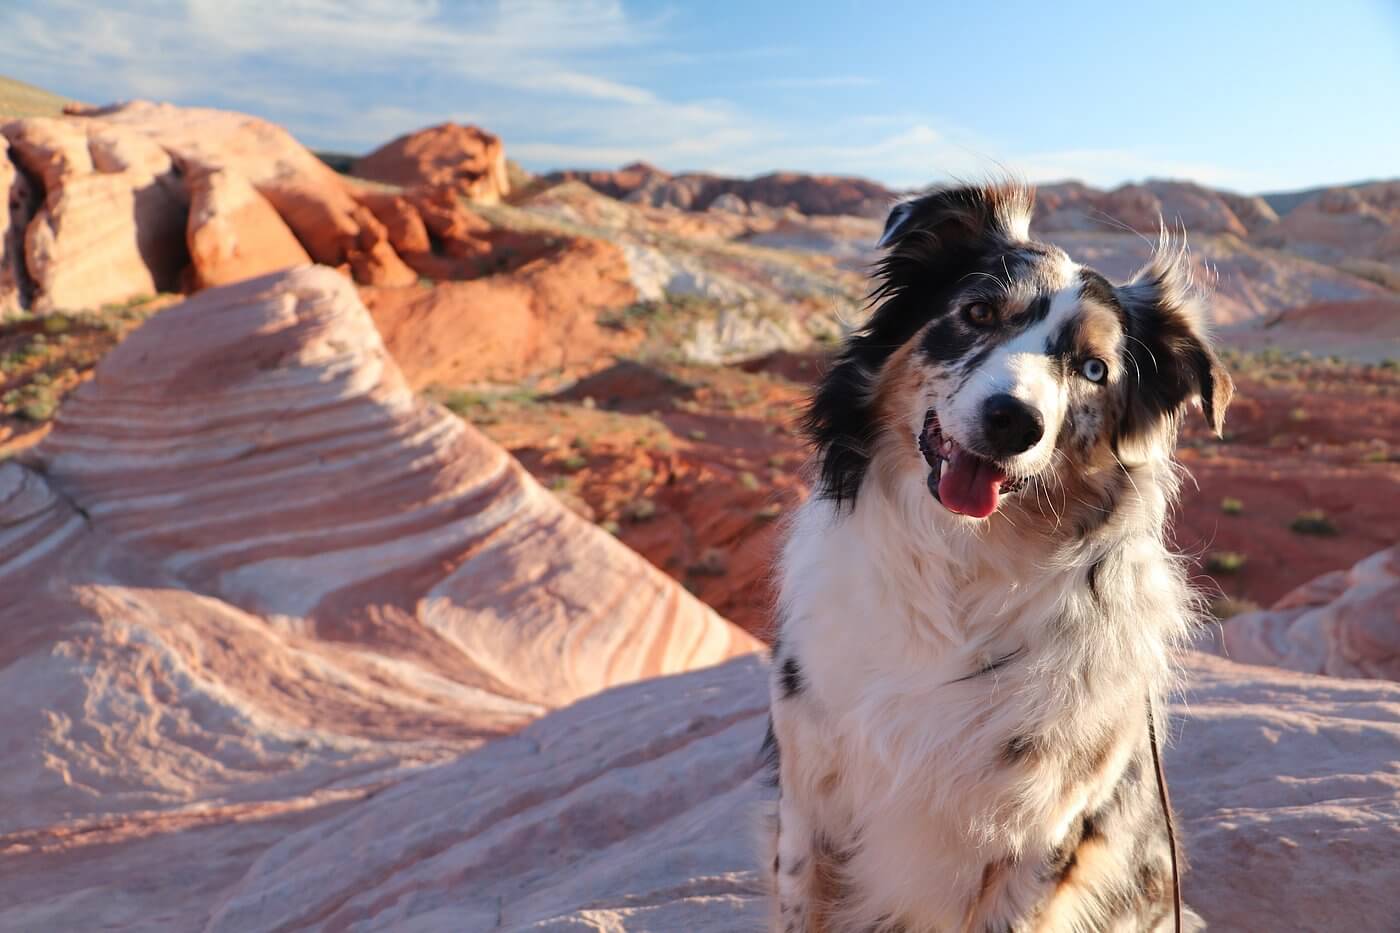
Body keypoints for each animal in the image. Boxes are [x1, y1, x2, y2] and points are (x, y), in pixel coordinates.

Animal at [761, 183, 1232, 930]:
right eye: (979, 313)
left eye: (1093, 369)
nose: (1014, 421)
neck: (958, 562)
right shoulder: (810, 803)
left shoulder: (1043, 831)